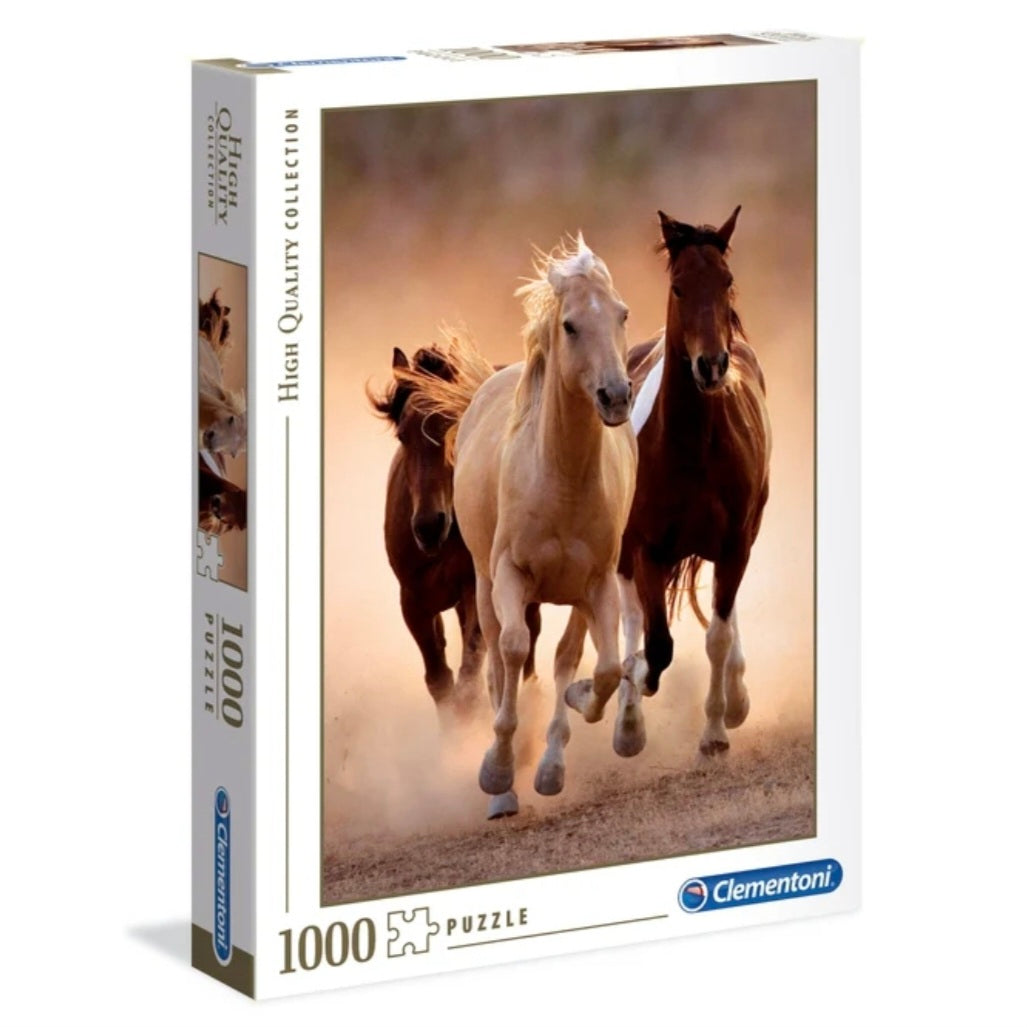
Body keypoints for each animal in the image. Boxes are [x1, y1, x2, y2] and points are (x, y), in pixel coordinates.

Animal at [369, 343, 541, 723]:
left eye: (454, 425)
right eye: (403, 435)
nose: (429, 526)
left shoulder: (474, 590)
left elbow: (468, 679)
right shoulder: (413, 600)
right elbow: (440, 680)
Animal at [421, 235, 638, 818]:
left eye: (622, 314)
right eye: (570, 325)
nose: (616, 396)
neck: (560, 479)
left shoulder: (597, 584)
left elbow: (601, 668)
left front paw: (567, 737)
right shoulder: (509, 575)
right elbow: (514, 651)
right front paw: (497, 771)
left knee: (566, 657)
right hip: (482, 582)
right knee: (499, 657)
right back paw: (504, 786)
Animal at [616, 207, 771, 757]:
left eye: (725, 281)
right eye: (679, 287)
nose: (711, 365)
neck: (693, 448)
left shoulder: (735, 544)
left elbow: (717, 636)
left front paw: (716, 729)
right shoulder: (646, 547)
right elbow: (657, 644)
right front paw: (634, 691)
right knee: (631, 618)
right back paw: (627, 720)